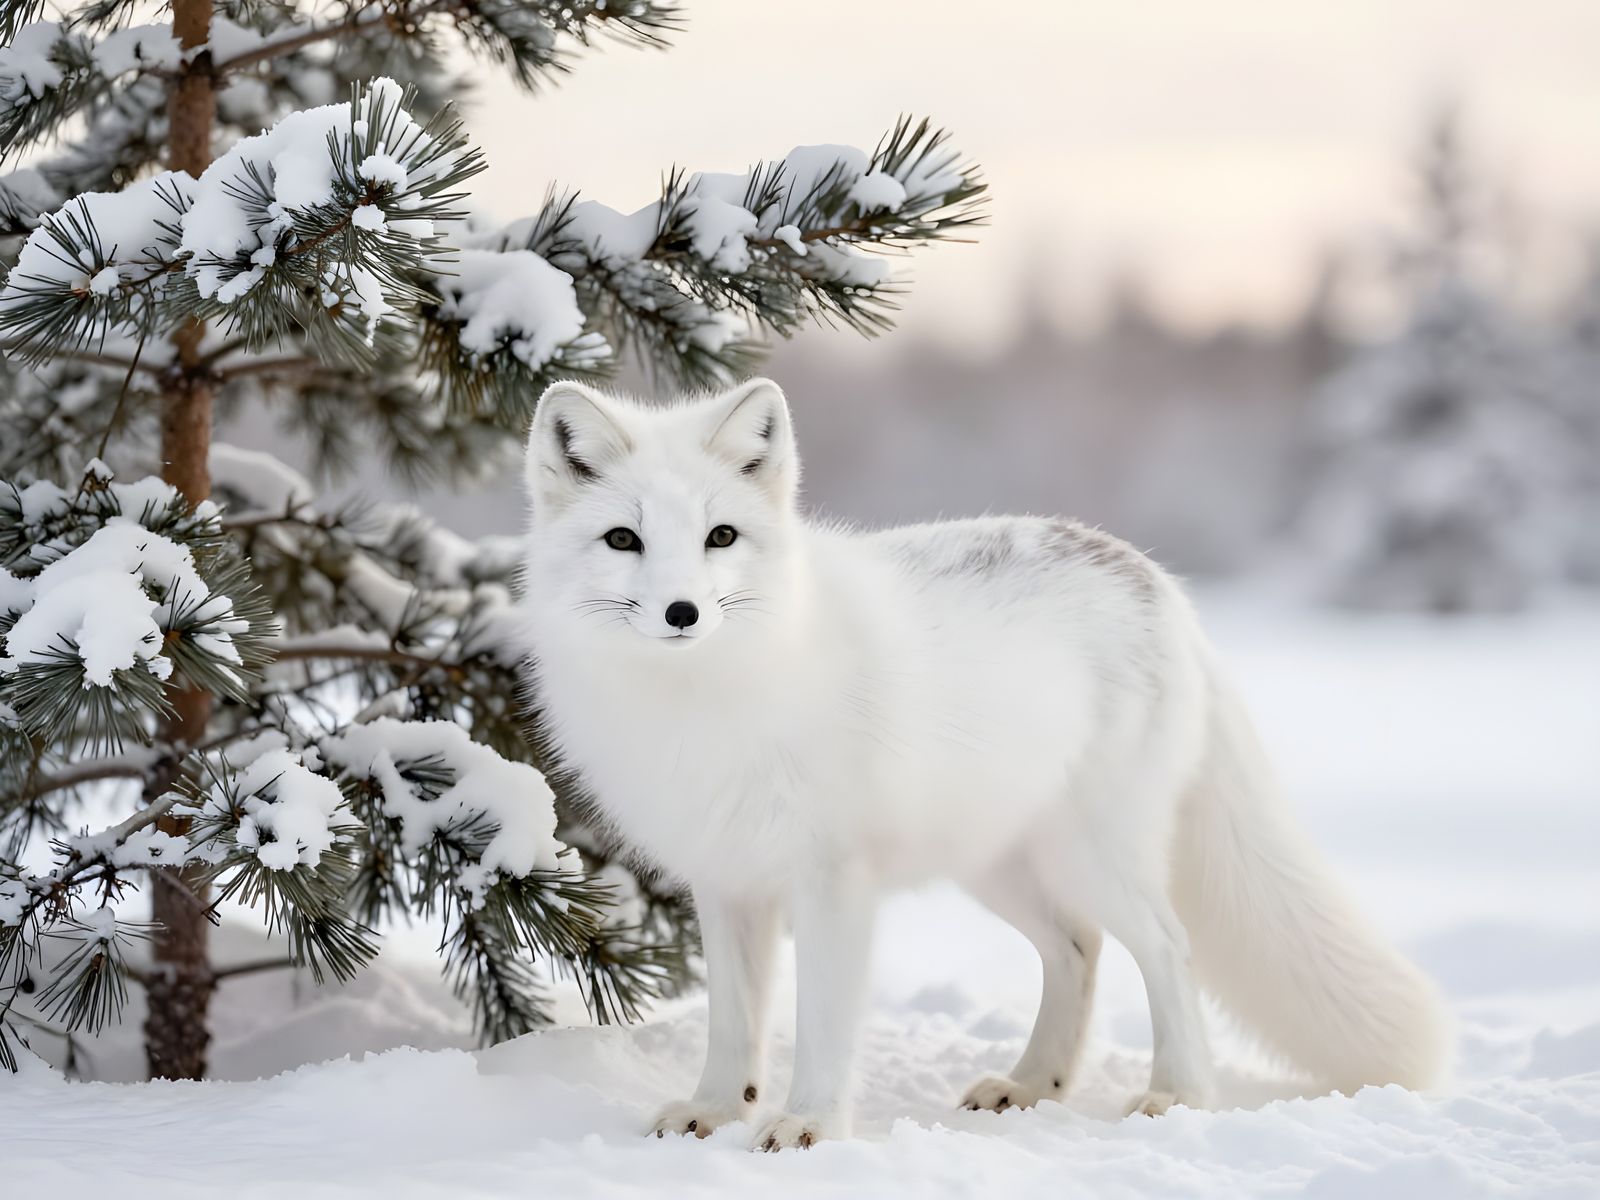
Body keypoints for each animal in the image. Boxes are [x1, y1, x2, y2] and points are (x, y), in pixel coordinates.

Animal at [516, 376, 1450, 1152]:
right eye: (623, 538)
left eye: (721, 536)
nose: (683, 611)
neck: (706, 697)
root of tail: (1158, 582)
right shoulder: (728, 880)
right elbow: (732, 1024)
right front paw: (715, 1111)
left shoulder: (833, 883)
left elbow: (821, 1026)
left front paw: (809, 1125)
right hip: (999, 867)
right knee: (1077, 948)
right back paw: (1036, 1084)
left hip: (1093, 857)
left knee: (1168, 947)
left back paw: (1177, 1094)